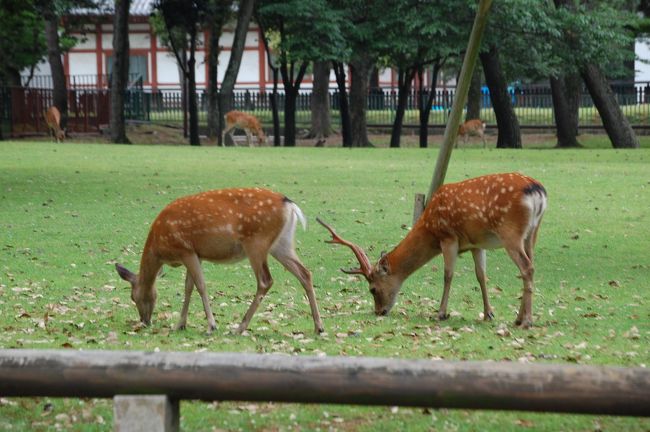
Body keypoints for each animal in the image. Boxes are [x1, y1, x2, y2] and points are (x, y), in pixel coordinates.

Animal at [115, 188, 324, 335]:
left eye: (133, 297)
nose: (144, 321)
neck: (159, 248)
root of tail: (289, 205)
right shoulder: (195, 254)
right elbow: (188, 287)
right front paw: (179, 324)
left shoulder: (185, 249)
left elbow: (200, 286)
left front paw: (211, 326)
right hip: (282, 244)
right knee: (305, 273)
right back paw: (318, 327)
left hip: (256, 242)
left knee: (266, 280)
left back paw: (239, 328)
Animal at [318, 172, 547, 329]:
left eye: (372, 289)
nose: (379, 311)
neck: (429, 227)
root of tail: (537, 191)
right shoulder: (476, 244)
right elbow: (481, 275)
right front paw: (488, 313)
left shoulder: (448, 237)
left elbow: (448, 274)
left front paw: (441, 313)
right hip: (532, 233)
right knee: (531, 266)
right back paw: (519, 318)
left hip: (511, 233)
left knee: (527, 268)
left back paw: (526, 321)